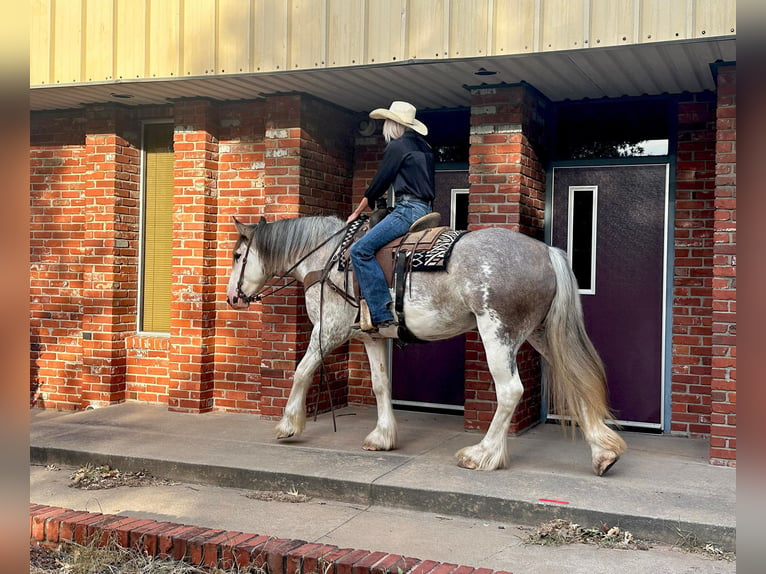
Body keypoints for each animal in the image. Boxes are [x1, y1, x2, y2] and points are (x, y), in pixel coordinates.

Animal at [225, 216, 628, 476]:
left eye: (237, 255)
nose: (232, 298)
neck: (328, 259)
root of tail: (546, 252)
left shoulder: (329, 330)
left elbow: (302, 370)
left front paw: (288, 425)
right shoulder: (371, 337)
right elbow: (380, 385)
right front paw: (383, 436)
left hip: (498, 333)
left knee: (510, 391)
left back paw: (483, 454)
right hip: (540, 333)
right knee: (574, 380)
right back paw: (603, 453)